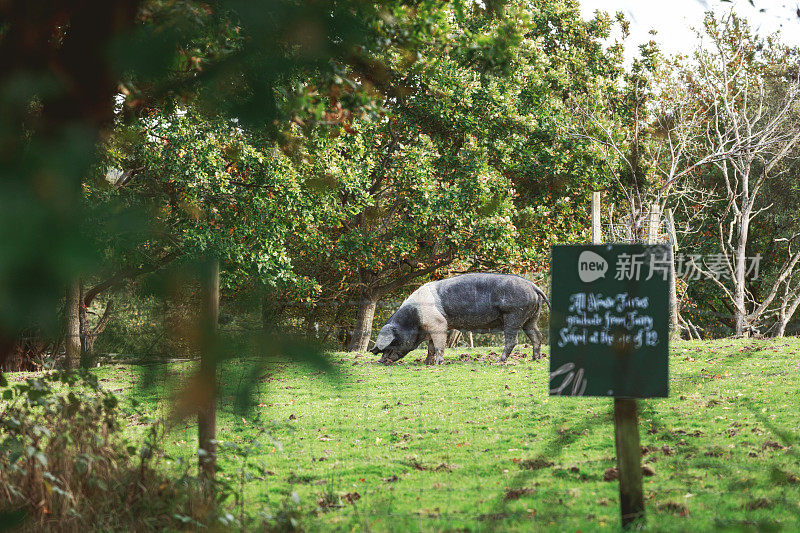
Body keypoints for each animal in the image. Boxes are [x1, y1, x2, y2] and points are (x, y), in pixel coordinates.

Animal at [370, 272, 552, 364]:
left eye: (393, 341)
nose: (381, 360)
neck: (415, 319)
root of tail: (534, 286)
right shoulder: (432, 327)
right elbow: (430, 347)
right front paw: (426, 363)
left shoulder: (439, 324)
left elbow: (438, 346)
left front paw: (438, 363)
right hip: (531, 317)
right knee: (537, 335)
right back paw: (535, 359)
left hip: (513, 314)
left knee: (512, 340)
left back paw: (499, 361)